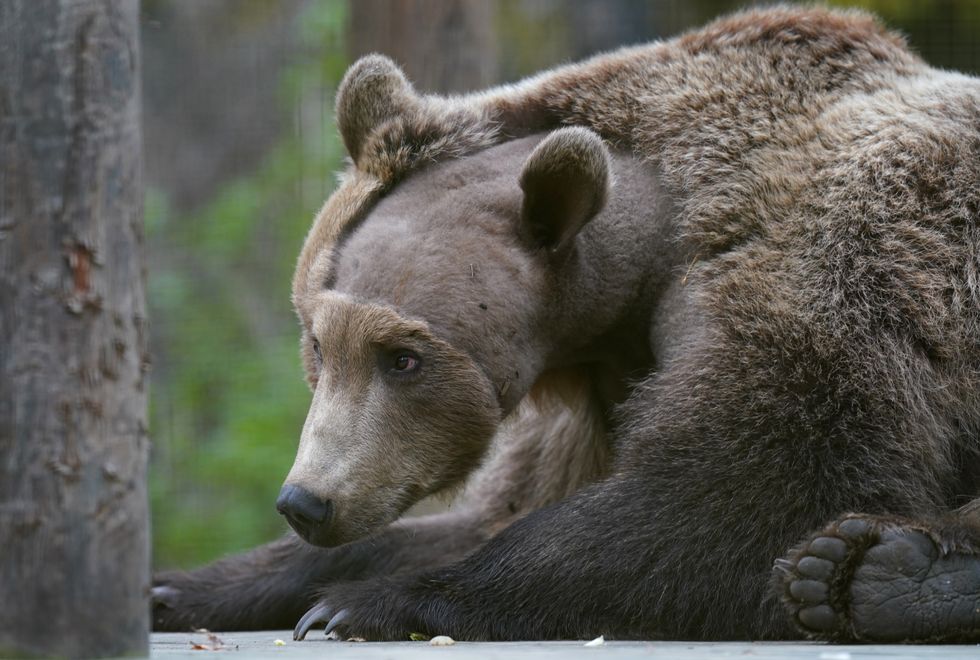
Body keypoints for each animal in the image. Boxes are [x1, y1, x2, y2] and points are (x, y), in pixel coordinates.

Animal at [153, 6, 980, 644]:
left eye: (402, 358)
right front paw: (181, 587)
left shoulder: (823, 285)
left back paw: (875, 572)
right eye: (319, 344)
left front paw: (367, 606)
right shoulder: (589, 396)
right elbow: (494, 510)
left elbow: (737, 494)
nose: (307, 500)